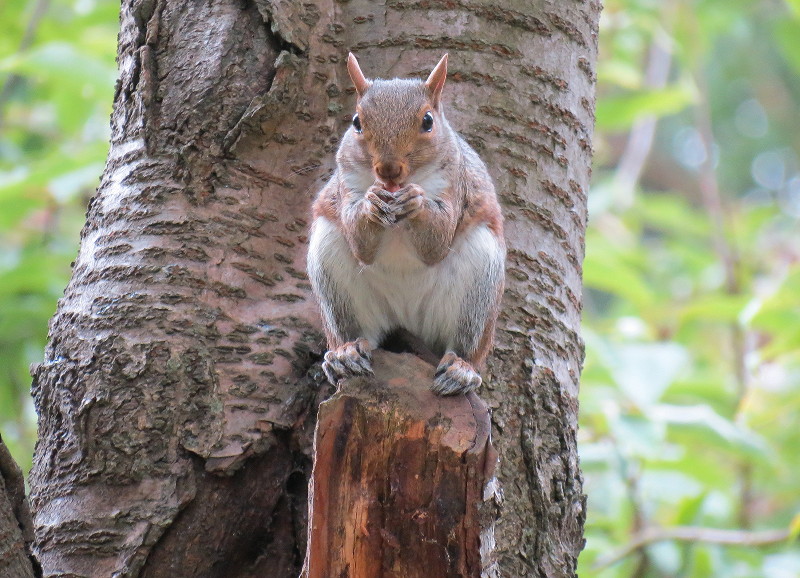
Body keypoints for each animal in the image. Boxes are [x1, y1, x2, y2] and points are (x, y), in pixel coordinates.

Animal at [308, 54, 506, 394]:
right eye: (356, 122)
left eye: (428, 121)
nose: (388, 170)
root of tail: (406, 317)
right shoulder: (347, 182)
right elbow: (360, 242)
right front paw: (371, 204)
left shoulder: (455, 182)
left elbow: (437, 241)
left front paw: (417, 202)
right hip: (333, 276)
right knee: (355, 332)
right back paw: (345, 355)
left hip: (478, 287)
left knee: (466, 344)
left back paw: (461, 370)